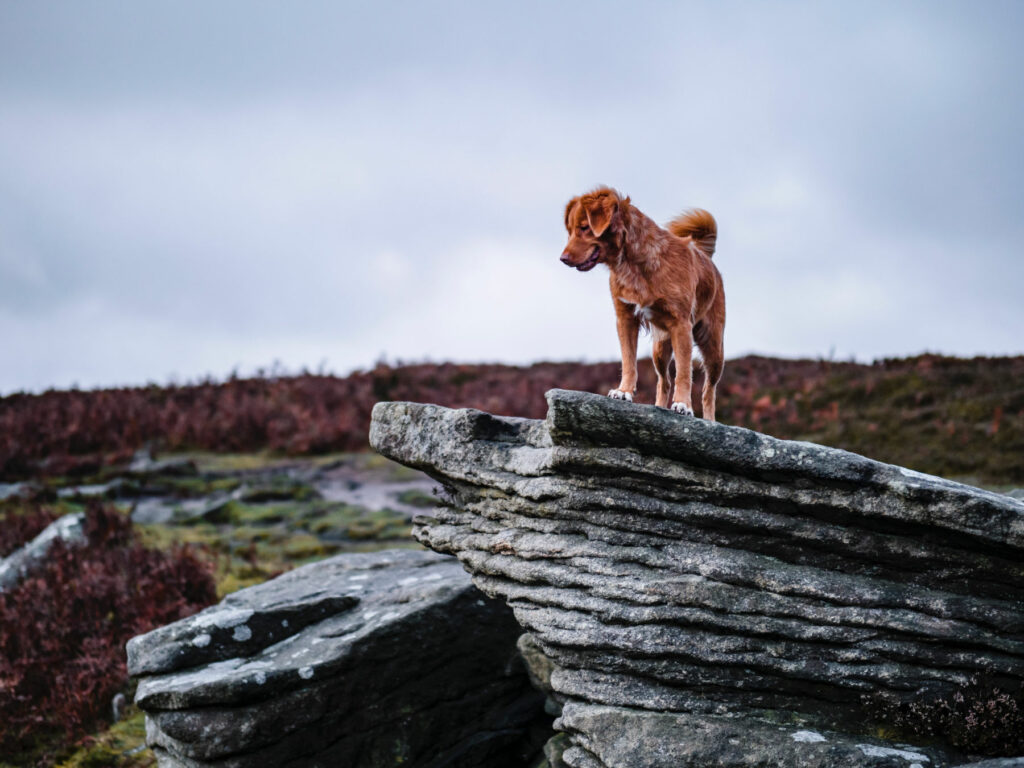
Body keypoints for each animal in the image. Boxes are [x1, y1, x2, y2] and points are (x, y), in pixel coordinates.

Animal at [565, 187, 724, 421]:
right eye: (570, 230)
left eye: (584, 228)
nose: (563, 258)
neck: (633, 263)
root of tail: (705, 256)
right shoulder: (626, 318)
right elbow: (629, 361)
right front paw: (623, 391)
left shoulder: (681, 325)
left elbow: (684, 372)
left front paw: (683, 405)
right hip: (660, 349)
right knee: (663, 382)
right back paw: (658, 407)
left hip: (713, 348)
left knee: (708, 390)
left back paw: (710, 420)